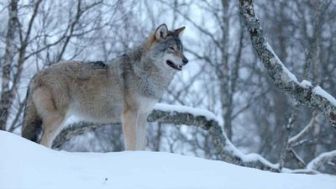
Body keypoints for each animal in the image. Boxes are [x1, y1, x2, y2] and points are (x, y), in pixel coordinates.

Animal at [21, 24, 189, 151]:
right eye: (172, 48)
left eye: (181, 49)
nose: (186, 61)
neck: (147, 74)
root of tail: (36, 76)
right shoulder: (129, 115)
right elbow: (132, 145)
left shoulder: (142, 117)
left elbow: (141, 146)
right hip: (56, 120)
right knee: (43, 142)